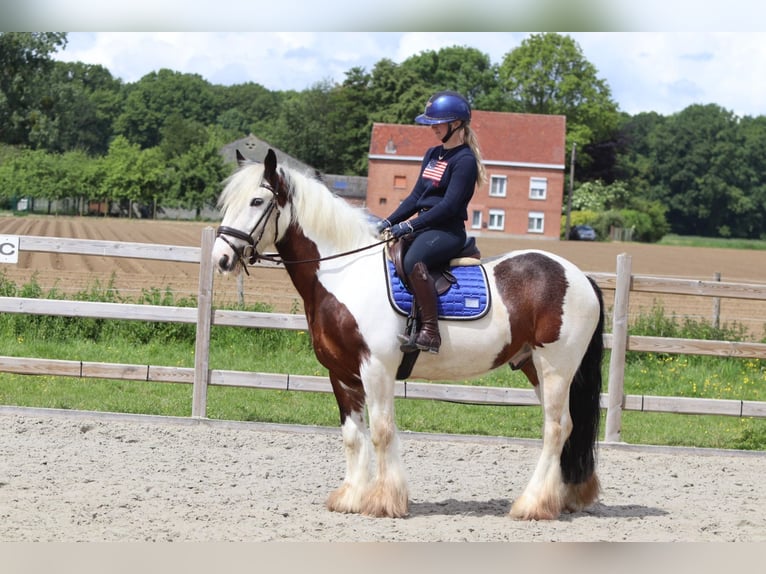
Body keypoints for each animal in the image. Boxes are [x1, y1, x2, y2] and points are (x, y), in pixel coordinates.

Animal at [212, 149, 605, 521]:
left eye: (257, 201)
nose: (221, 258)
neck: (345, 274)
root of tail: (580, 277)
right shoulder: (340, 374)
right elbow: (352, 435)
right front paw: (351, 497)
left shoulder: (376, 369)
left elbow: (381, 431)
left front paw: (384, 501)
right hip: (532, 366)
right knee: (565, 426)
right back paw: (558, 499)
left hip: (555, 367)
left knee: (556, 429)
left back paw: (532, 504)